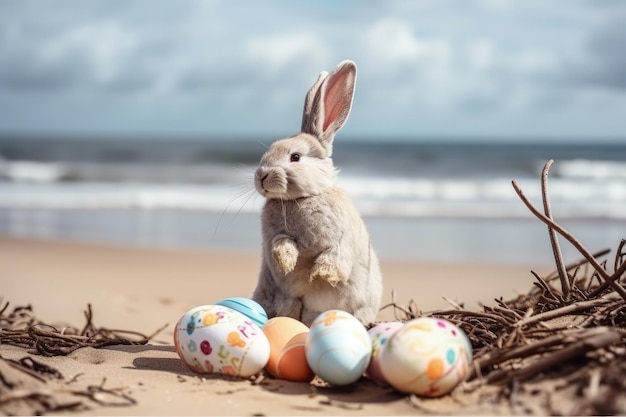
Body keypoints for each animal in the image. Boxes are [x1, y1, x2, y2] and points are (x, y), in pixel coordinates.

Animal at [251, 59, 382, 324]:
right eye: (268, 150)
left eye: (295, 157)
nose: (261, 176)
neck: (302, 198)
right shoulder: (275, 236)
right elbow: (281, 243)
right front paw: (287, 262)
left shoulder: (341, 239)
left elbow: (335, 256)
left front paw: (320, 275)